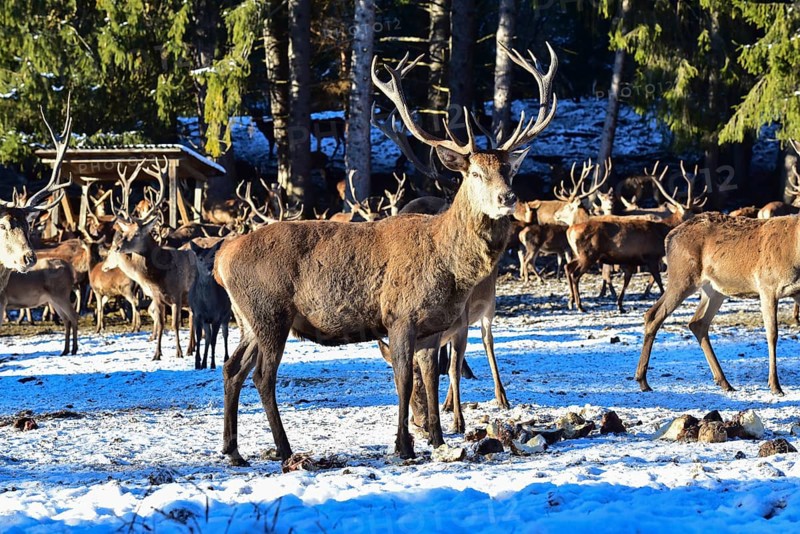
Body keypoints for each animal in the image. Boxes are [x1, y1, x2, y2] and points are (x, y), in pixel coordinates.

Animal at [102, 158, 197, 361]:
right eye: (125, 232)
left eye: (137, 233)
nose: (119, 247)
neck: (159, 277)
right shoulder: (157, 297)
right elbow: (160, 324)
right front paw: (156, 354)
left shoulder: (177, 293)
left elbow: (175, 324)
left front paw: (178, 353)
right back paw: (191, 348)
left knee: (194, 317)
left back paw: (189, 349)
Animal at [214, 45, 557, 465]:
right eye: (475, 173)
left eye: (508, 169)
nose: (508, 197)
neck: (449, 267)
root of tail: (222, 258)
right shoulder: (399, 315)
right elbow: (404, 381)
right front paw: (403, 445)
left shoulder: (434, 328)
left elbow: (431, 378)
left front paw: (438, 440)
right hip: (269, 312)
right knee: (262, 376)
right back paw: (283, 447)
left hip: (248, 318)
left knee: (232, 368)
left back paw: (233, 450)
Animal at [565, 162, 707, 313]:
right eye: (691, 214)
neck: (661, 231)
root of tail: (570, 230)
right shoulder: (651, 256)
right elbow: (658, 280)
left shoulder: (632, 260)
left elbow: (627, 281)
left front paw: (620, 305)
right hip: (589, 254)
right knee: (575, 274)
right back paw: (580, 306)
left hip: (580, 254)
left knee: (568, 267)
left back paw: (572, 302)